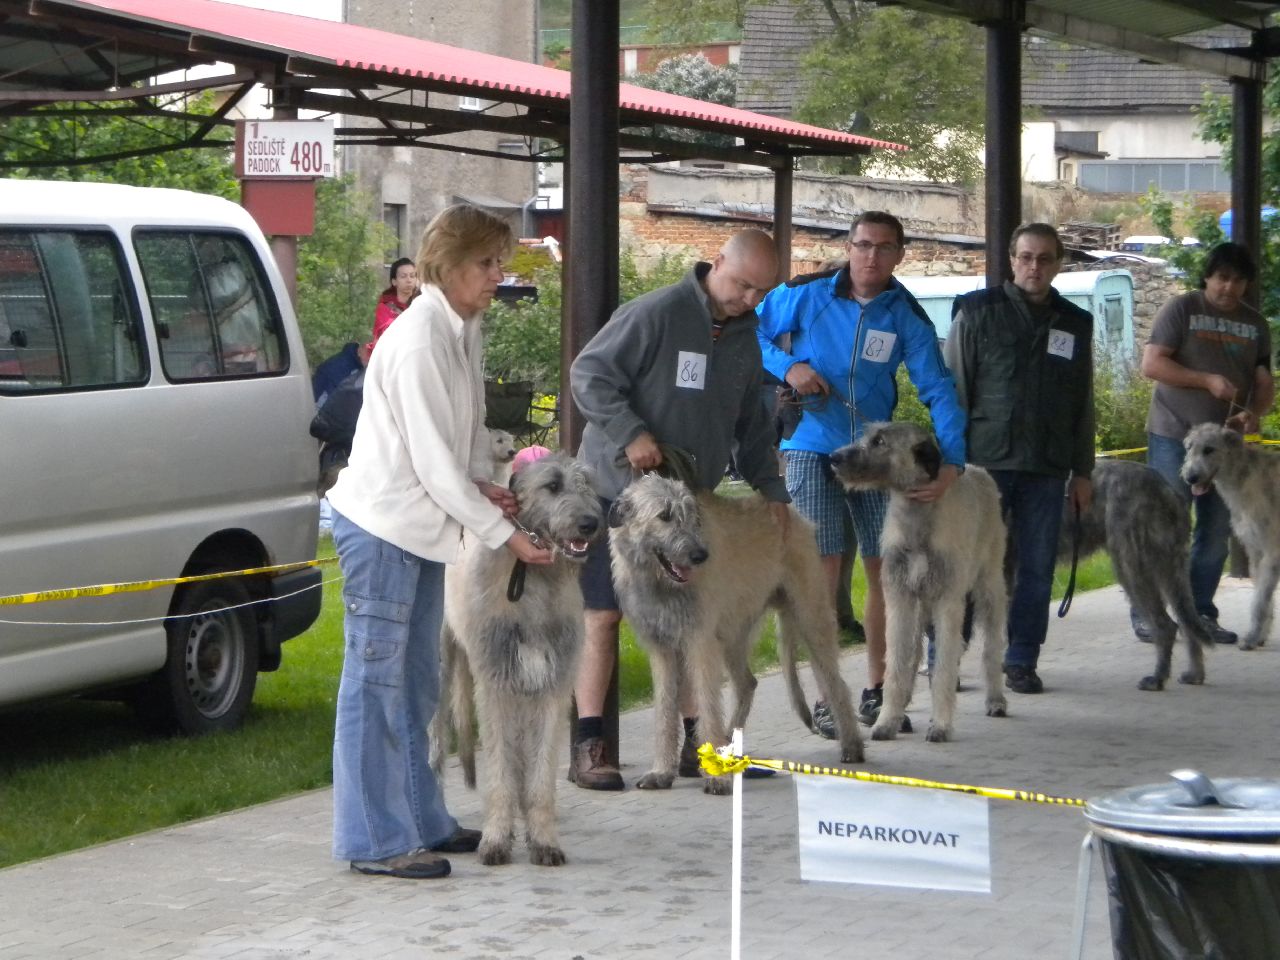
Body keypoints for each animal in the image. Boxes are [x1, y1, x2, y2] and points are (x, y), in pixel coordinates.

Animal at [437, 455, 601, 870]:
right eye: (553, 486)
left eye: (587, 485)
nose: (590, 523)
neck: (533, 579)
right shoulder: (496, 684)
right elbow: (500, 771)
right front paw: (496, 838)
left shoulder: (553, 685)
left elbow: (540, 773)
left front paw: (542, 839)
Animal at [606, 473, 860, 798]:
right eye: (664, 516)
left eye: (692, 516)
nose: (700, 556)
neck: (660, 583)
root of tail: (794, 514)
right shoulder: (661, 648)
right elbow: (663, 710)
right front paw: (662, 772)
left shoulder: (700, 643)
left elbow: (707, 702)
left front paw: (716, 779)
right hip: (733, 634)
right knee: (748, 683)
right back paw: (728, 743)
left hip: (810, 616)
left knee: (835, 682)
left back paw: (852, 746)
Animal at [829, 419, 1008, 742]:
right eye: (867, 435)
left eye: (880, 441)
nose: (833, 458)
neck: (917, 518)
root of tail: (979, 470)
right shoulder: (899, 597)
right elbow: (897, 663)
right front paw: (887, 719)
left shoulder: (948, 601)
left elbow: (944, 668)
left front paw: (941, 724)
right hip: (920, 604)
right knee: (914, 652)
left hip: (989, 585)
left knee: (991, 647)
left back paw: (996, 699)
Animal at [1054, 463, 1213, 686]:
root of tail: (1165, 489)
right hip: (1171, 567)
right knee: (1185, 620)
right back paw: (1194, 674)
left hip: (1130, 565)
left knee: (1166, 625)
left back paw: (1157, 678)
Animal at [1177, 427, 1280, 655]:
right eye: (1189, 447)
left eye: (1209, 449)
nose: (1190, 478)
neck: (1245, 477)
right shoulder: (1255, 551)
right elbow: (1262, 598)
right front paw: (1260, 635)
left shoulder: (1272, 551)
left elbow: (1259, 601)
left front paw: (1251, 638)